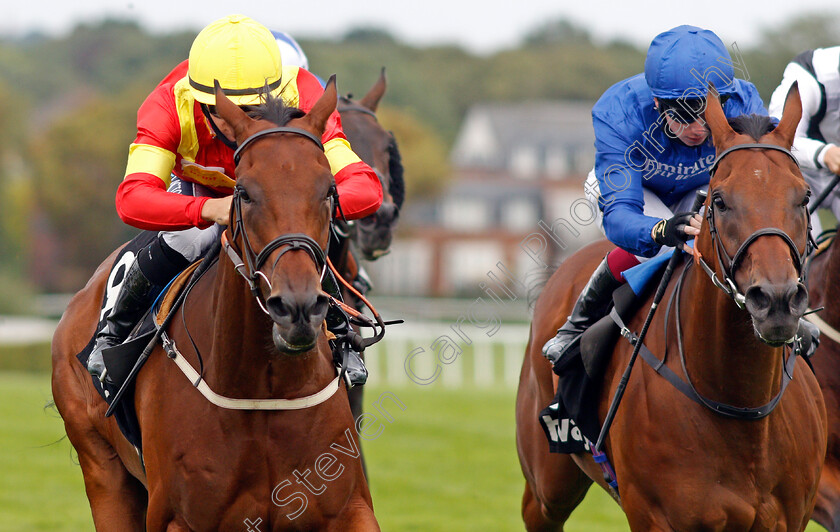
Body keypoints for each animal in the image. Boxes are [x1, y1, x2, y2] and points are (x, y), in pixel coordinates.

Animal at [50, 77, 378, 528]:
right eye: (244, 192)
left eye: (329, 190)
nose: (297, 308)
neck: (264, 389)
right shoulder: (177, 517)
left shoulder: (349, 506)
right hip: (103, 471)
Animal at [516, 85, 832, 528]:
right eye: (719, 201)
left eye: (803, 196)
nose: (777, 301)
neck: (742, 406)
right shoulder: (656, 517)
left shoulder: (793, 516)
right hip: (548, 484)